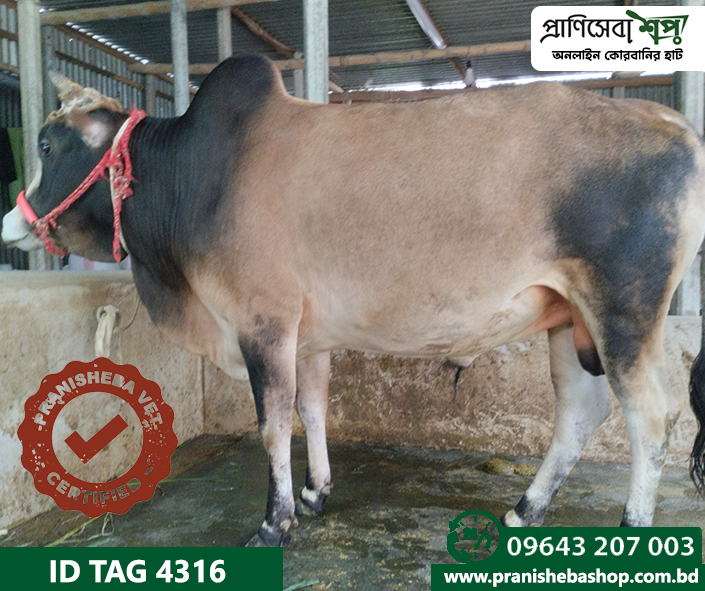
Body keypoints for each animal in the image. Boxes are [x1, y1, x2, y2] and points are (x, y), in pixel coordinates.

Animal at [3, 54, 705, 547]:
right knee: (581, 413)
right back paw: (524, 509)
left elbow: (272, 424)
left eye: (47, 145)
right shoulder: (307, 334)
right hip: (571, 317)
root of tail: (673, 123)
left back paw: (632, 527)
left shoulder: (264, 322)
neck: (197, 176)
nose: (12, 221)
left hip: (624, 312)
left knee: (651, 418)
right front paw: (317, 492)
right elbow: (312, 411)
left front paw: (274, 522)